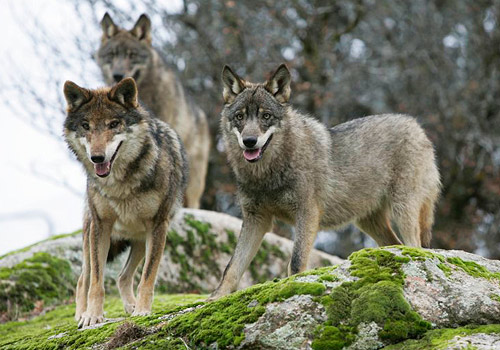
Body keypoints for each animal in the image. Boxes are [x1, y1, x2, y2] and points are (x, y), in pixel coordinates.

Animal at [62, 78, 188, 326]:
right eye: (86, 126)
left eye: (113, 124)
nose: (97, 158)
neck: (120, 185)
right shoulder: (101, 226)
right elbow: (97, 281)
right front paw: (92, 316)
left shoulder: (158, 225)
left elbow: (147, 277)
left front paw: (142, 311)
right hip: (90, 235)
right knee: (83, 278)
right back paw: (81, 314)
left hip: (140, 239)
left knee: (122, 276)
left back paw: (131, 306)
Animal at [209, 63, 440, 298]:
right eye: (240, 117)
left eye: (266, 116)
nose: (249, 141)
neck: (267, 174)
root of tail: (416, 126)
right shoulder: (256, 219)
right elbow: (232, 267)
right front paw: (215, 297)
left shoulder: (307, 213)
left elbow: (296, 262)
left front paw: (293, 287)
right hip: (369, 222)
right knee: (396, 244)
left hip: (402, 210)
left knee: (415, 246)